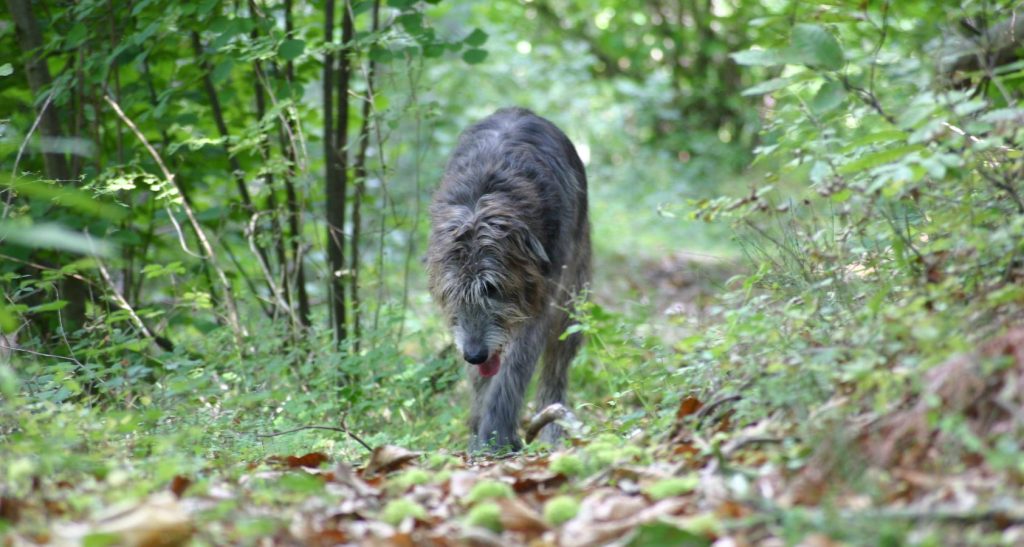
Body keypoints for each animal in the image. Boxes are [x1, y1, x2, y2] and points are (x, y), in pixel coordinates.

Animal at [425, 107, 593, 454]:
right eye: (453, 291)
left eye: (492, 288)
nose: (475, 354)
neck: (483, 198)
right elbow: (480, 377)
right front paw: (479, 433)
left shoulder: (540, 298)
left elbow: (516, 366)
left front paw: (496, 435)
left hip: (574, 290)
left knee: (556, 364)